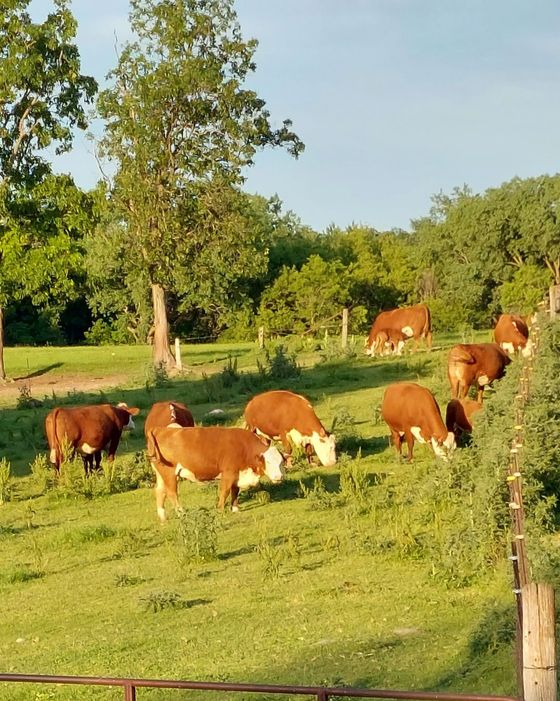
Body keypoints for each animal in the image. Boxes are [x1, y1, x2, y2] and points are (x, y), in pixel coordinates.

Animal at [147, 426, 284, 521]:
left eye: (281, 462)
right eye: (268, 462)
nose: (279, 477)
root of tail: (159, 429)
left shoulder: (237, 474)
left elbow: (235, 491)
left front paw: (235, 508)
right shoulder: (229, 473)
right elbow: (225, 491)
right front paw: (221, 510)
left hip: (161, 474)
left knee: (160, 491)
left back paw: (163, 517)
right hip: (169, 473)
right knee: (171, 493)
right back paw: (181, 512)